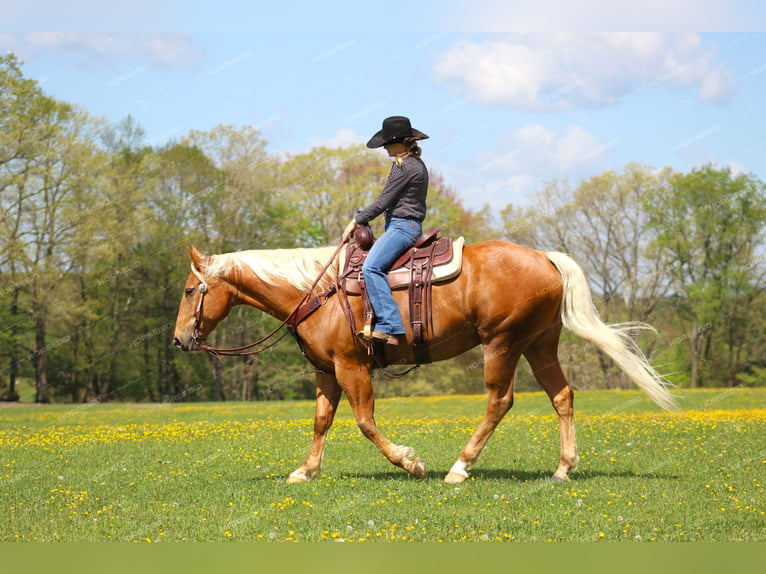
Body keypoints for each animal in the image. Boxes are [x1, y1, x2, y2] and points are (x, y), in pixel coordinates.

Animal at [174, 241, 680, 484]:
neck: (317, 291)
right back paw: (562, 469)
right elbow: (321, 421)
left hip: (501, 344)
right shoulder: (325, 372)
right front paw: (304, 471)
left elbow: (365, 421)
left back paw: (460, 467)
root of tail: (545, 258)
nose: (179, 340)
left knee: (500, 401)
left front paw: (410, 463)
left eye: (188, 289)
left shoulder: (351, 367)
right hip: (539, 344)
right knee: (562, 395)